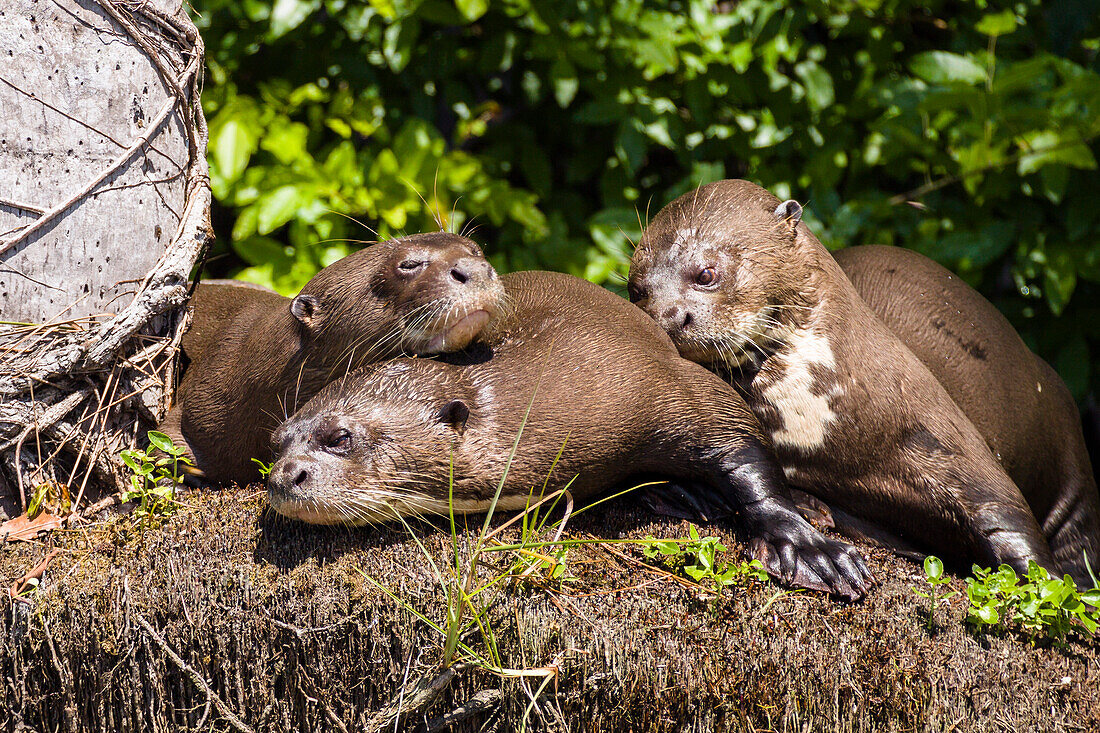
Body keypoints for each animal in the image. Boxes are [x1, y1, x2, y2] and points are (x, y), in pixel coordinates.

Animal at [268, 270, 875, 598]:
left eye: (339, 437)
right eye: (277, 442)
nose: (282, 478)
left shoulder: (656, 381)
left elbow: (739, 439)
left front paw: (807, 546)